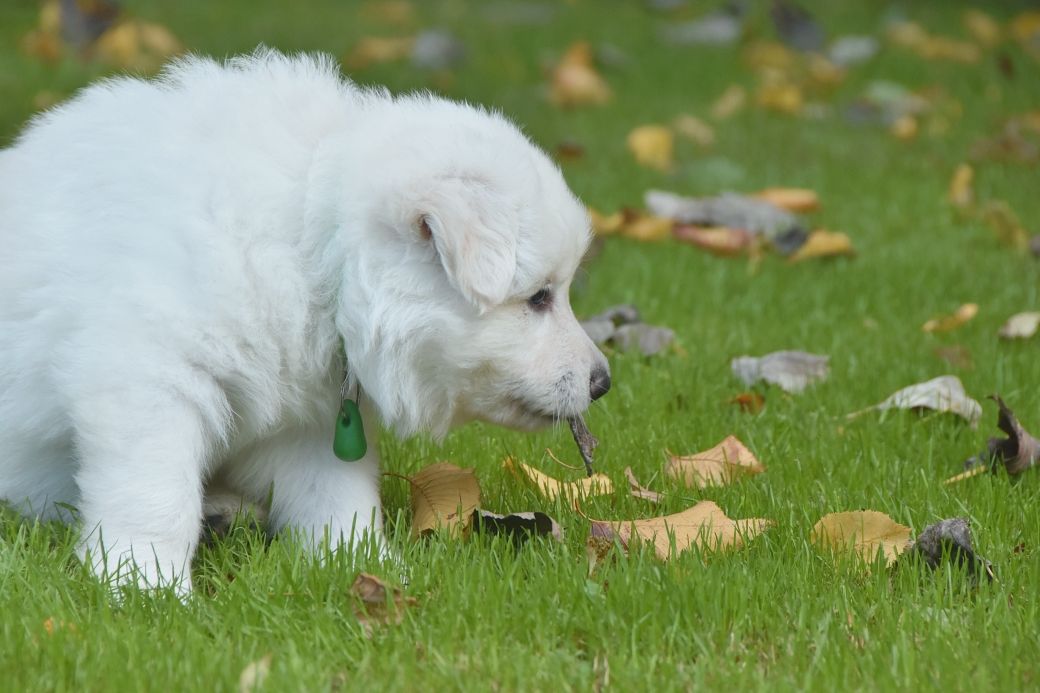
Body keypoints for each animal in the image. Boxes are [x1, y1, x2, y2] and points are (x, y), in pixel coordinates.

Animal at [0, 49, 610, 595]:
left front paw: (365, 566)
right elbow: (153, 491)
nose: (602, 382)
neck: (311, 248)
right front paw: (145, 586)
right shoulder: (148, 378)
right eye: (538, 298)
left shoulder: (314, 416)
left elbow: (335, 495)